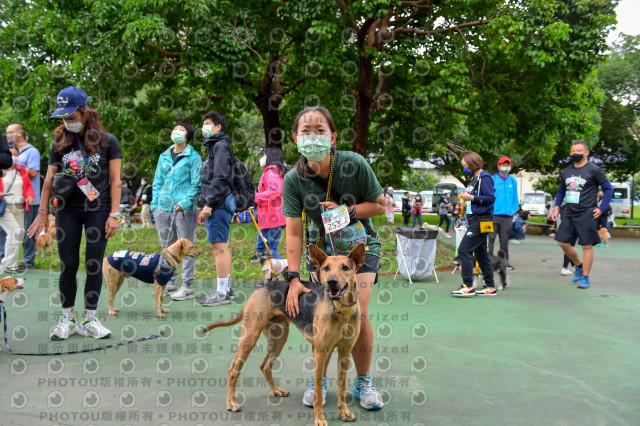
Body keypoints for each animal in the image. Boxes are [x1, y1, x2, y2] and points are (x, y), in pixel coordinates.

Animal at [204, 245, 364, 424]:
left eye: (345, 268)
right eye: (326, 268)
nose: (331, 282)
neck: (341, 310)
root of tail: (260, 290)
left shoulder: (345, 351)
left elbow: (342, 387)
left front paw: (344, 412)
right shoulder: (320, 352)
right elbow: (317, 390)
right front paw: (319, 418)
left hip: (279, 339)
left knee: (265, 366)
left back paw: (276, 390)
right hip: (250, 338)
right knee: (233, 370)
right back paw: (232, 403)